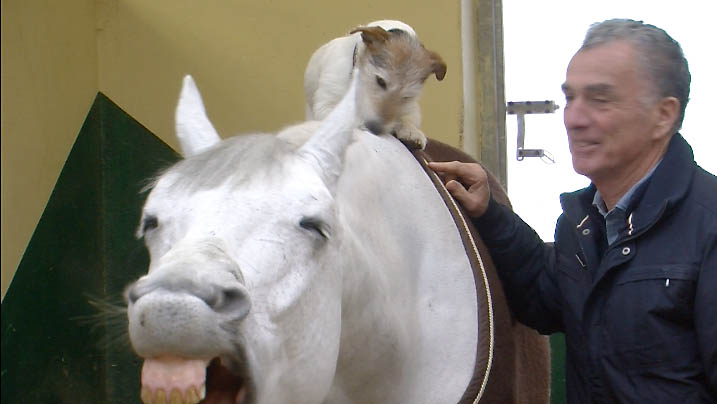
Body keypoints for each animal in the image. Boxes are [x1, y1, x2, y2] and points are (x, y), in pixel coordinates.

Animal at [304, 19, 448, 148]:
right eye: (380, 81)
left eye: (407, 96)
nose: (375, 129)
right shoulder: (327, 103)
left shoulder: (412, 108)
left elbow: (408, 119)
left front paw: (411, 131)